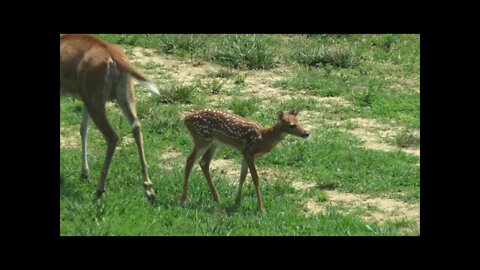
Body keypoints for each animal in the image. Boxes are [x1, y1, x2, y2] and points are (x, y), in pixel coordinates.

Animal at [61, 34, 158, 202]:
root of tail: (115, 57)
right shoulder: (83, 99)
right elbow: (83, 129)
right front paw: (84, 172)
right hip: (124, 95)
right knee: (137, 127)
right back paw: (148, 189)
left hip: (96, 101)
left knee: (112, 136)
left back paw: (99, 190)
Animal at [181, 107, 312, 211]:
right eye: (292, 125)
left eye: (299, 122)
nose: (306, 133)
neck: (263, 138)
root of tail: (186, 119)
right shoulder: (249, 152)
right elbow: (255, 178)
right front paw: (261, 208)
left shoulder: (244, 153)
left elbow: (242, 175)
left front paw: (237, 201)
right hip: (202, 139)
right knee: (190, 160)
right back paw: (183, 199)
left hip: (214, 143)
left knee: (204, 163)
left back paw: (216, 198)